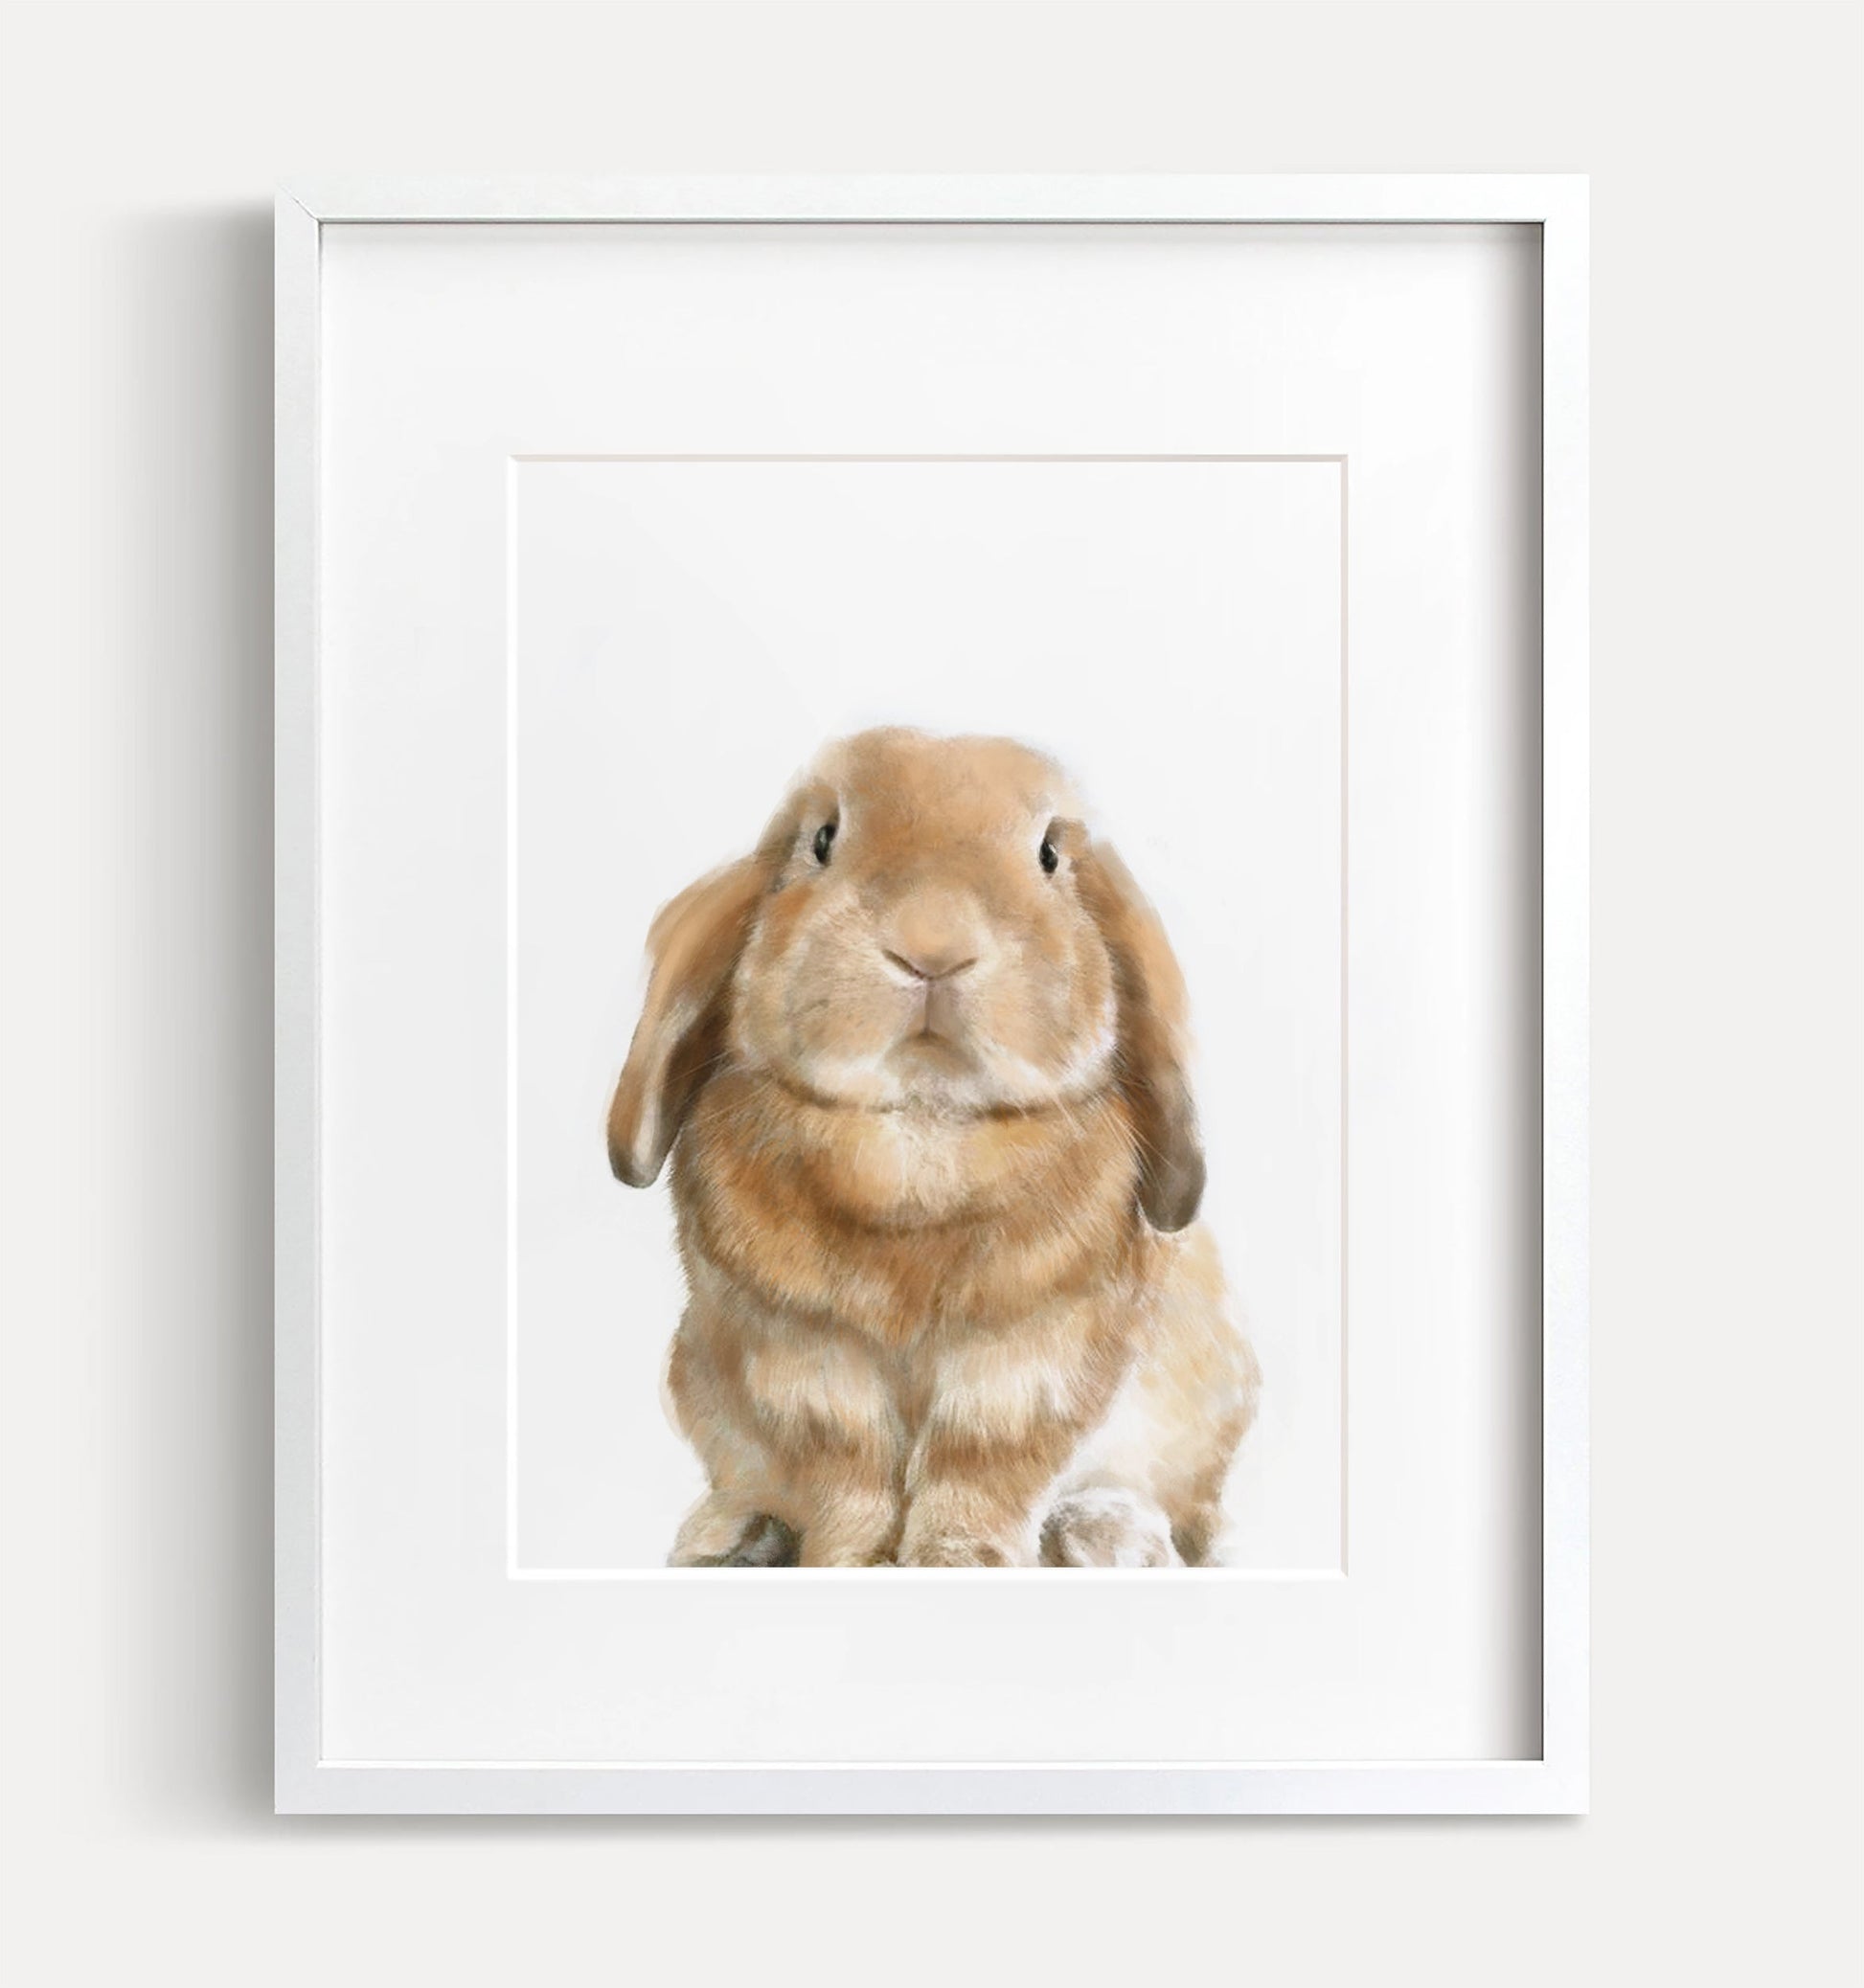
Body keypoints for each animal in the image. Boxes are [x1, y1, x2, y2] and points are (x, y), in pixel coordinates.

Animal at [607, 727, 1260, 1568]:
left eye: (1050, 854)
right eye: (823, 840)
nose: (933, 946)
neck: (922, 1130)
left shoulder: (1029, 1360)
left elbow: (979, 1468)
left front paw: (960, 1561)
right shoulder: (804, 1360)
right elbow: (847, 1472)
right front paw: (849, 1561)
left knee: (1175, 1509)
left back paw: (1107, 1536)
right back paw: (729, 1535)